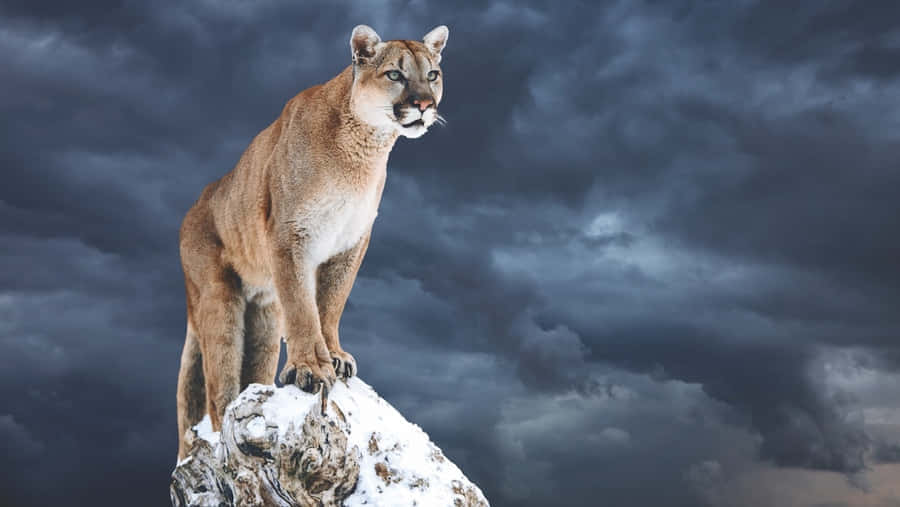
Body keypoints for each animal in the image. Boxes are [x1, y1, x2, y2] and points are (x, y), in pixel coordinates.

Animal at [175, 24, 449, 459]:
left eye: (432, 75)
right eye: (395, 74)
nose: (424, 104)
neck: (364, 149)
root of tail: (196, 204)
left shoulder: (351, 242)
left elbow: (331, 303)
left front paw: (334, 356)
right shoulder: (291, 236)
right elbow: (304, 308)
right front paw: (312, 368)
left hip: (264, 313)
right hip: (218, 298)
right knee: (218, 388)